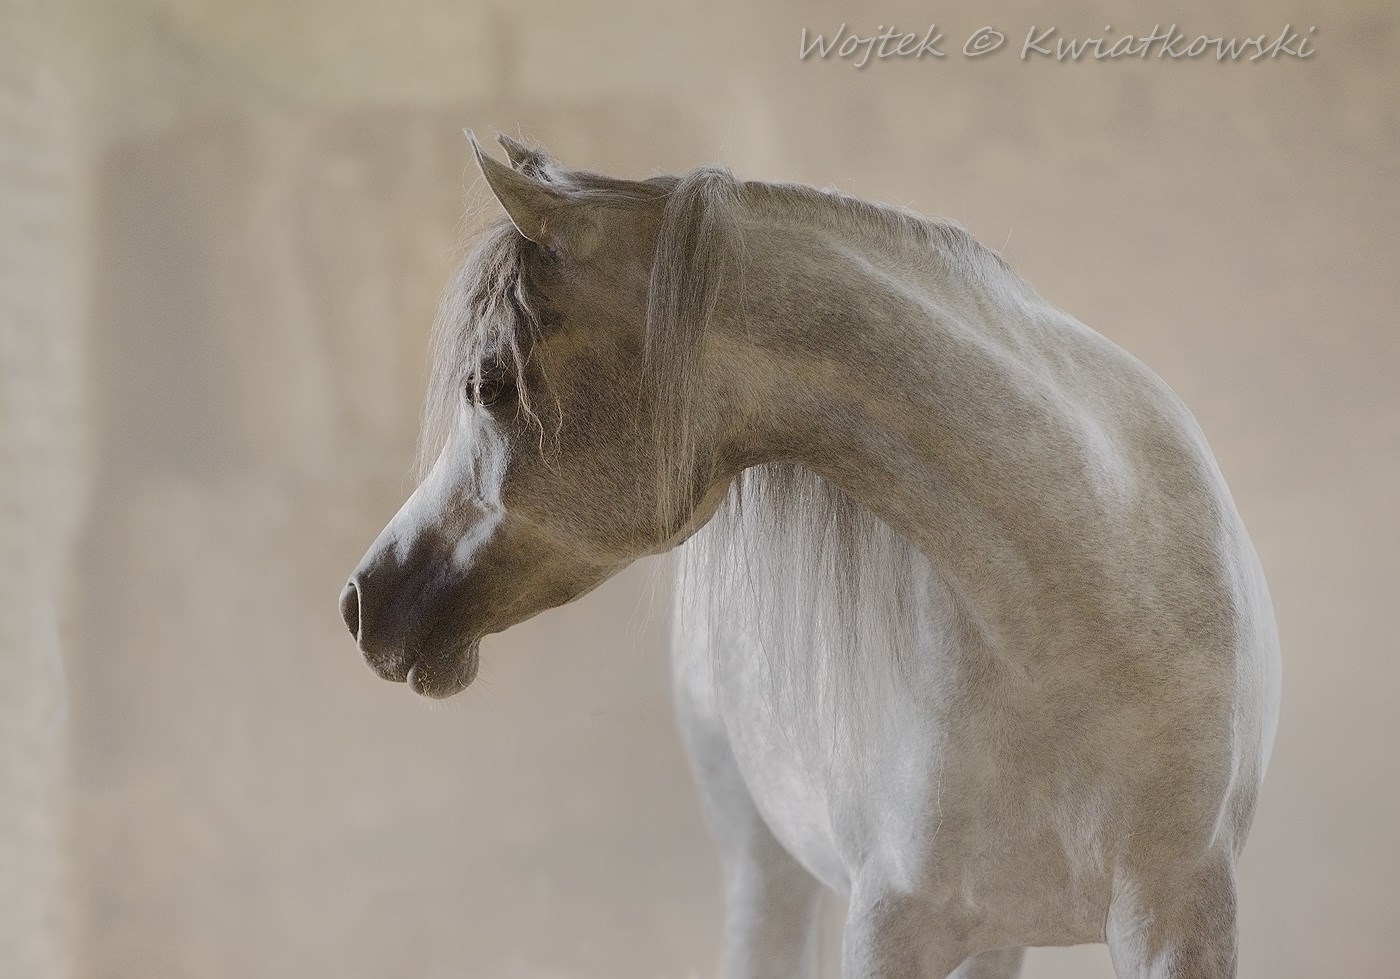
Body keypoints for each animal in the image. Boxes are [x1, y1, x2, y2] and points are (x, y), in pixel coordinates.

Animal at [338, 132, 1282, 979]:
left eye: (490, 383)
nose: (363, 600)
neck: (1075, 618)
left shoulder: (1180, 916)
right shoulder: (892, 922)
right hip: (769, 865)